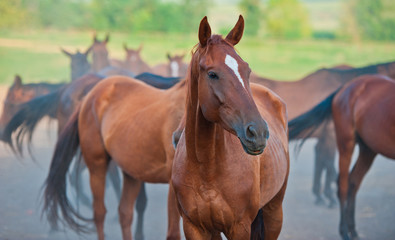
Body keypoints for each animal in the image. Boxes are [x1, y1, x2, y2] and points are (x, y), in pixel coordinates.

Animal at [172, 15, 290, 239]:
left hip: (274, 211)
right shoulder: (193, 227)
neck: (206, 169)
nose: (258, 132)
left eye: (247, 70)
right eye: (212, 74)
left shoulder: (239, 227)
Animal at [252, 59, 395, 206]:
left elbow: (323, 162)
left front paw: (321, 194)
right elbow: (329, 164)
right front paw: (330, 195)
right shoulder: (331, 136)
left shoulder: (324, 138)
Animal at [288, 74, 395, 239]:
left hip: (368, 149)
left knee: (353, 182)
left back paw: (353, 231)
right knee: (343, 184)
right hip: (346, 144)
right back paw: (344, 231)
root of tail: (346, 87)